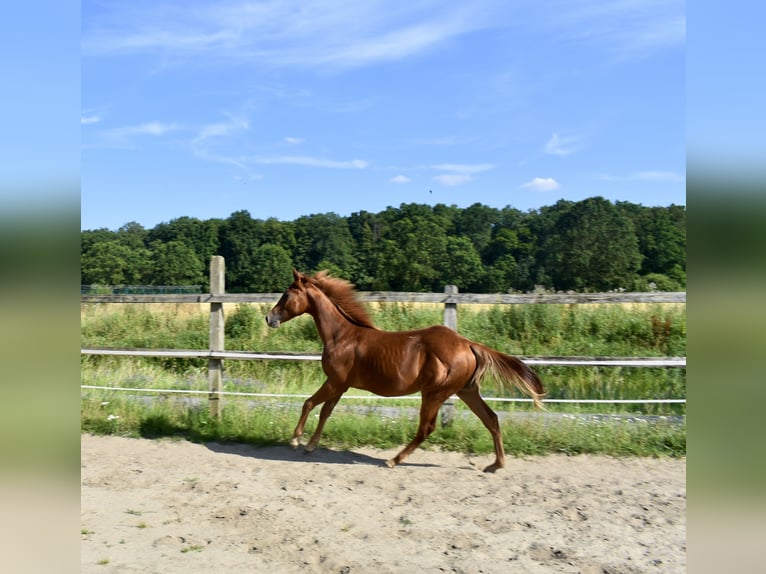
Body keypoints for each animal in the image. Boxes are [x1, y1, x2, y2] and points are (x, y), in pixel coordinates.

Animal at [265, 269, 545, 472]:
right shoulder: (341, 385)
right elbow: (325, 412)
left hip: (434, 394)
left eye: (286, 295)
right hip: (466, 391)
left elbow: (309, 403)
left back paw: (393, 460)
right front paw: (311, 445)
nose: (269, 318)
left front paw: (296, 440)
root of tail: (468, 344)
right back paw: (496, 464)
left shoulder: (334, 382)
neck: (342, 335)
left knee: (427, 428)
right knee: (491, 419)